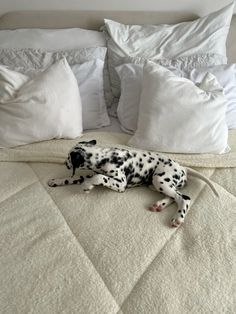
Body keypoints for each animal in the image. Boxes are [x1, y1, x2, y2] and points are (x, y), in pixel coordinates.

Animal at [47, 139, 218, 226]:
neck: (104, 156)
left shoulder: (120, 183)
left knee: (184, 198)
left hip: (160, 179)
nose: (63, 163)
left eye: (68, 158)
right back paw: (159, 205)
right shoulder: (89, 174)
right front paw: (55, 181)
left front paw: (87, 186)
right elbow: (74, 178)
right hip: (157, 184)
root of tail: (183, 168)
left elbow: (98, 178)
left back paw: (178, 218)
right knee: (174, 196)